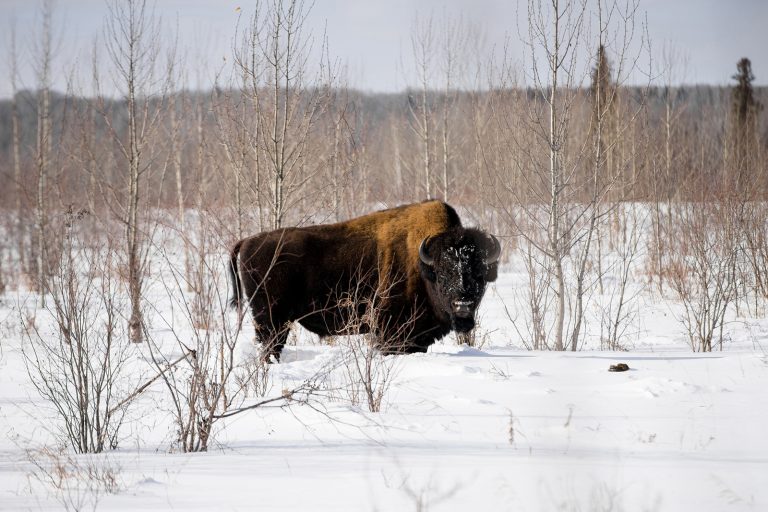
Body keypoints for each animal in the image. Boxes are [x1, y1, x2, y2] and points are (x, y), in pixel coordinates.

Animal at [228, 200, 500, 361]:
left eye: (479, 274)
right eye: (443, 274)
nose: (463, 305)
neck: (423, 266)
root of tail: (248, 241)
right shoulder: (390, 331)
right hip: (271, 320)